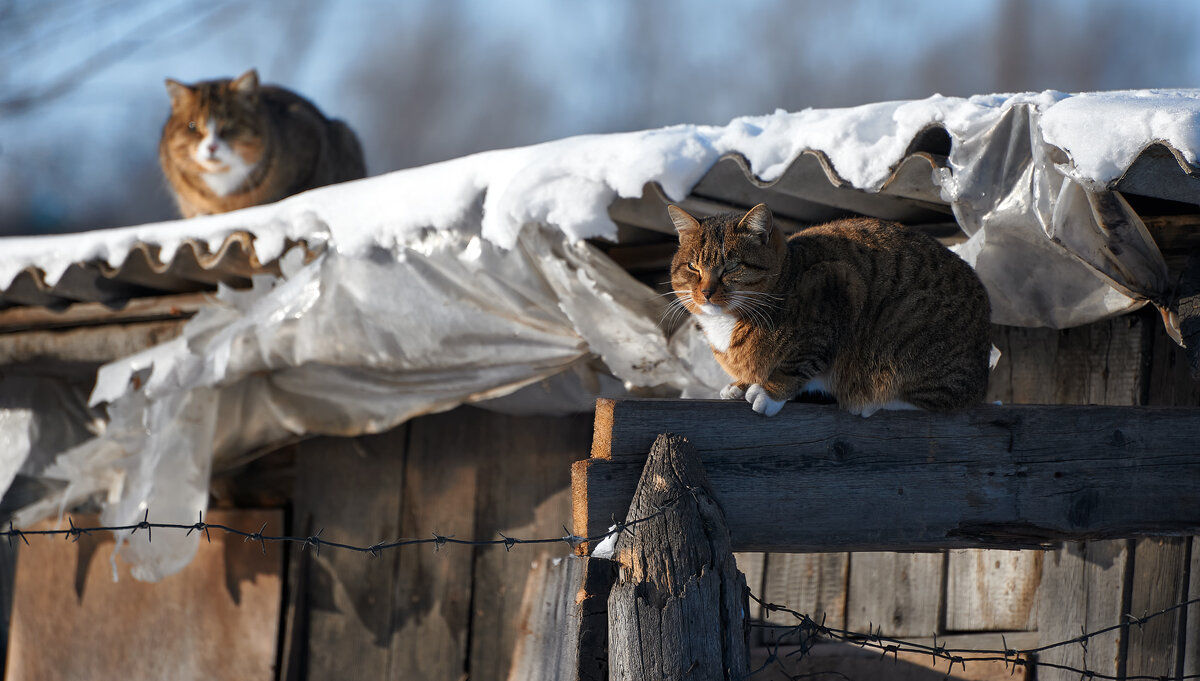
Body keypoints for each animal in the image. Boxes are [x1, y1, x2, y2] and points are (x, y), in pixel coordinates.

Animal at [667, 202, 993, 414]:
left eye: (732, 266)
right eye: (693, 267)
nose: (706, 292)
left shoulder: (837, 286)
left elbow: (800, 360)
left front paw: (770, 393)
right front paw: (741, 384)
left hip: (908, 327)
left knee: (941, 399)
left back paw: (872, 403)